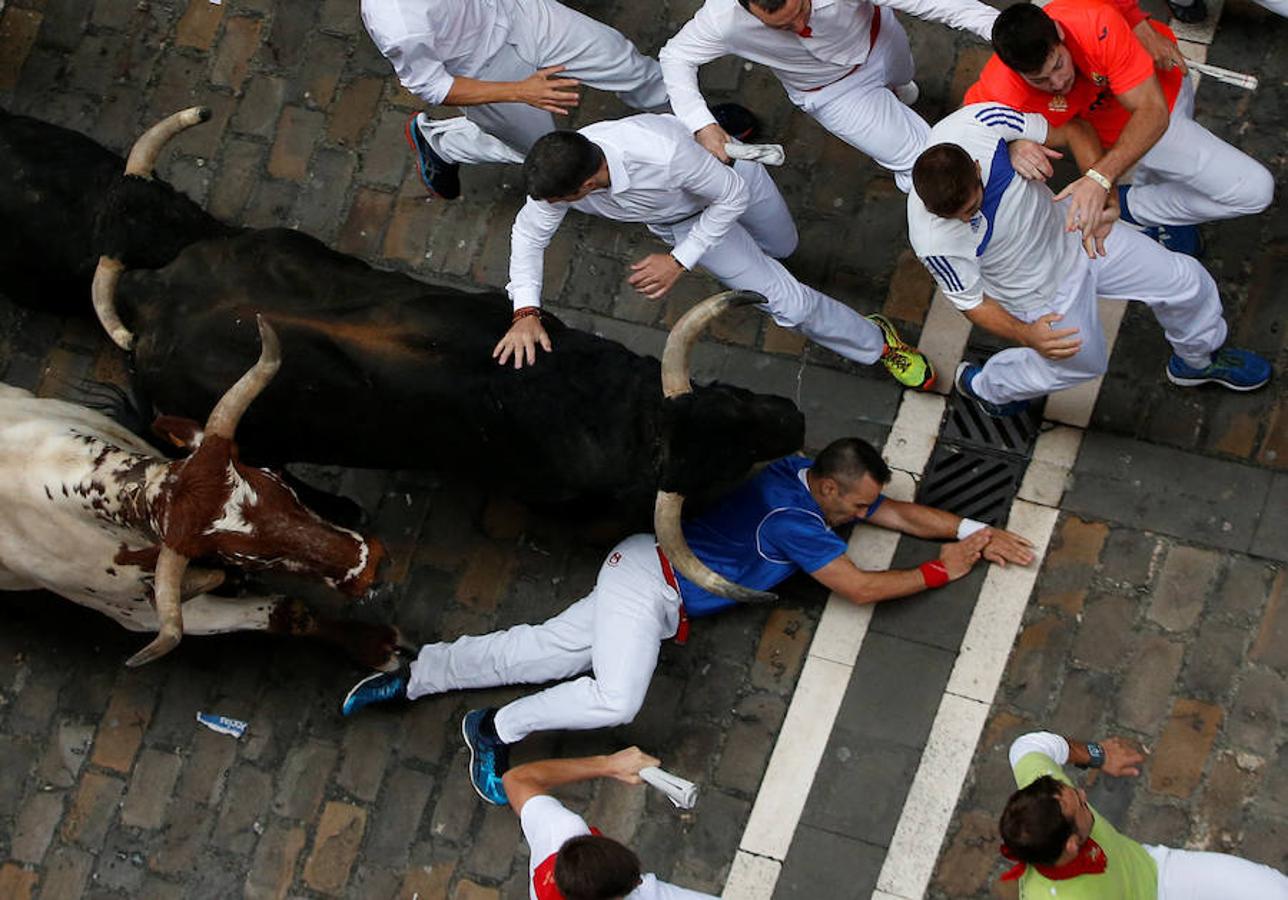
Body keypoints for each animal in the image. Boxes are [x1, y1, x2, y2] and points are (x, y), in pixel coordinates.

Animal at [0, 318, 394, 669]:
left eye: (281, 485)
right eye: (248, 556)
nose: (371, 565)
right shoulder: (144, 613)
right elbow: (282, 612)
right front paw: (373, 645)